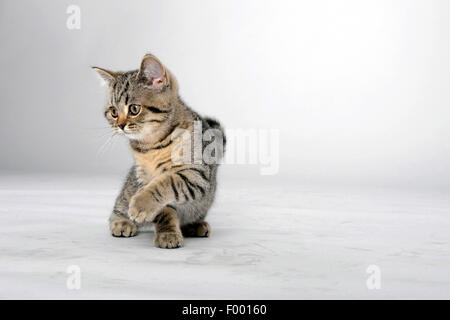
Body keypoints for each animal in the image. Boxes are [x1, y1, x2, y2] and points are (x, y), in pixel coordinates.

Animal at [92, 54, 225, 250]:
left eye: (134, 109)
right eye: (114, 112)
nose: (120, 125)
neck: (152, 145)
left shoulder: (196, 173)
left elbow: (168, 182)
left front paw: (141, 204)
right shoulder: (143, 177)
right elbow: (164, 210)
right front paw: (167, 233)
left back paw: (194, 225)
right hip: (129, 187)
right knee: (119, 205)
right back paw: (121, 222)